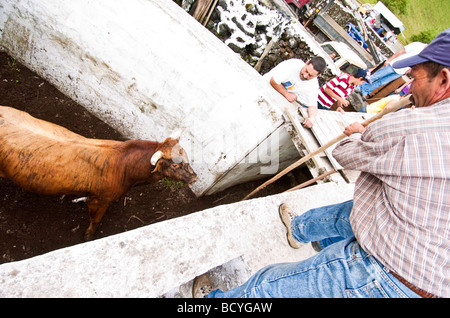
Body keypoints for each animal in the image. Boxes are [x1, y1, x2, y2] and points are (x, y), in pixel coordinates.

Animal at [0, 105, 197, 240]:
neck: (124, 167)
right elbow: (95, 221)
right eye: (175, 166)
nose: (195, 178)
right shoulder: (100, 201)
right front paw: (88, 236)